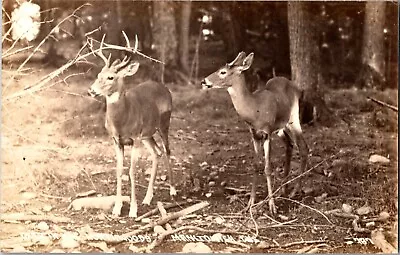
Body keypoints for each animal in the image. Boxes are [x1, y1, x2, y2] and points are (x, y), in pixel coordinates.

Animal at [87, 32, 175, 218]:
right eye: (99, 74)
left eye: (111, 77)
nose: (91, 90)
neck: (122, 121)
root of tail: (163, 86)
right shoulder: (116, 141)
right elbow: (119, 171)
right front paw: (117, 208)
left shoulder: (134, 138)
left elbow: (132, 172)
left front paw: (133, 210)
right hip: (147, 134)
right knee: (156, 152)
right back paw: (148, 198)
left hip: (164, 123)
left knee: (167, 151)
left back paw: (172, 190)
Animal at [203, 51, 310, 213]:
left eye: (223, 72)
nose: (204, 81)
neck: (254, 109)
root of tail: (296, 87)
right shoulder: (254, 134)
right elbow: (255, 166)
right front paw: (250, 203)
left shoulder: (267, 132)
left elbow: (267, 167)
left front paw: (272, 206)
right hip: (280, 127)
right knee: (290, 145)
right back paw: (284, 189)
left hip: (293, 117)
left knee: (303, 147)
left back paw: (295, 190)